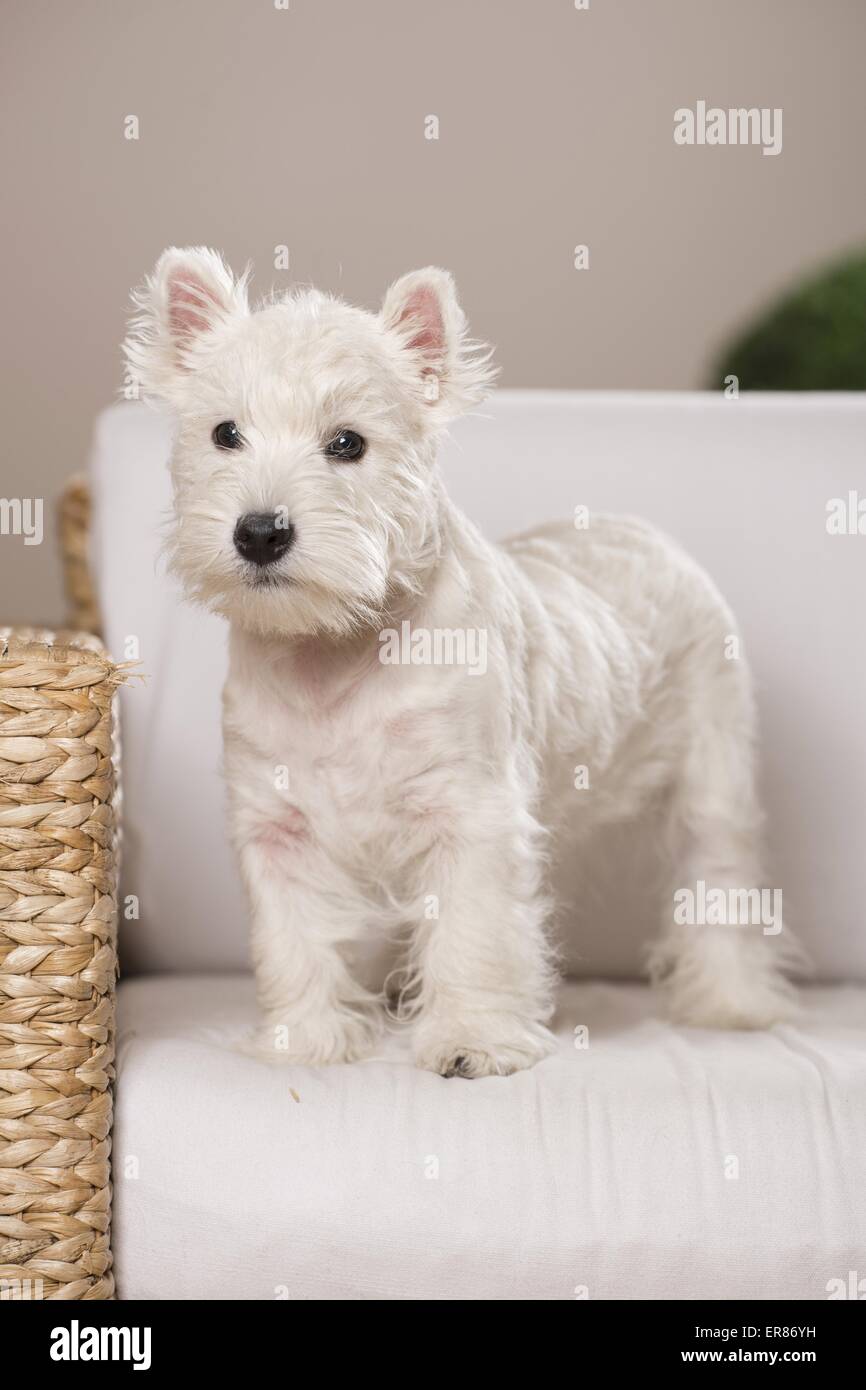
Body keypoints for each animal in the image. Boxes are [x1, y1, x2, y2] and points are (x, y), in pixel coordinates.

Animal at [127, 247, 800, 1073]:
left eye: (347, 443)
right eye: (225, 433)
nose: (260, 533)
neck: (332, 654)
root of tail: (643, 532)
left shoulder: (469, 813)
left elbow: (474, 935)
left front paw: (472, 1040)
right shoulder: (278, 827)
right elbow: (295, 941)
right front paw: (307, 1039)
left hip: (715, 773)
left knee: (721, 879)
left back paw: (731, 1003)